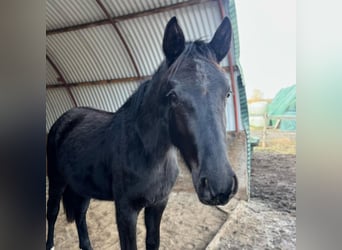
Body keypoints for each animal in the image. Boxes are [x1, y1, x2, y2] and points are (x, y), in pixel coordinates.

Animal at [45, 16, 238, 250]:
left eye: (227, 92)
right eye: (173, 95)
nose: (219, 185)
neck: (146, 153)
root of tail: (66, 118)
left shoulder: (158, 205)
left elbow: (153, 241)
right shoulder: (126, 211)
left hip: (81, 186)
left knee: (80, 215)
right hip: (56, 180)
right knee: (52, 213)